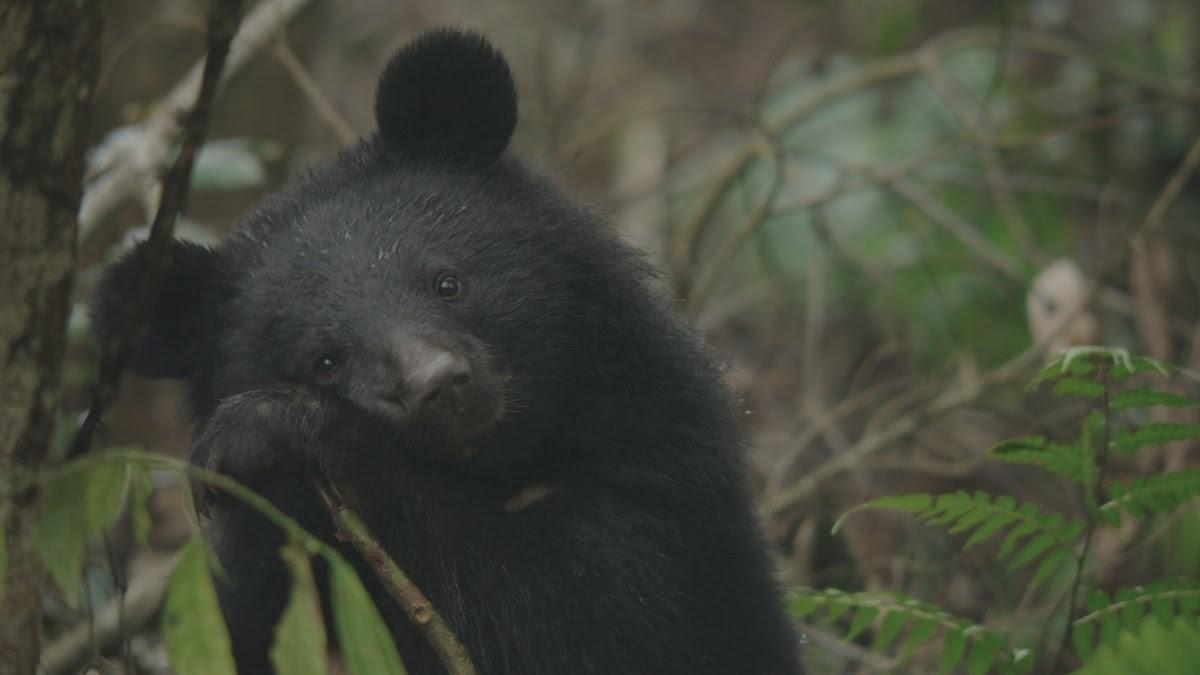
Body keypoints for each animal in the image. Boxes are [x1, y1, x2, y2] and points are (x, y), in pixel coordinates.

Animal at [94, 28, 802, 675]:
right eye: (324, 360)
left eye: (447, 282)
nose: (436, 386)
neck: (497, 462)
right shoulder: (260, 591)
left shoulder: (667, 465)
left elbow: (603, 605)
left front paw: (286, 427)